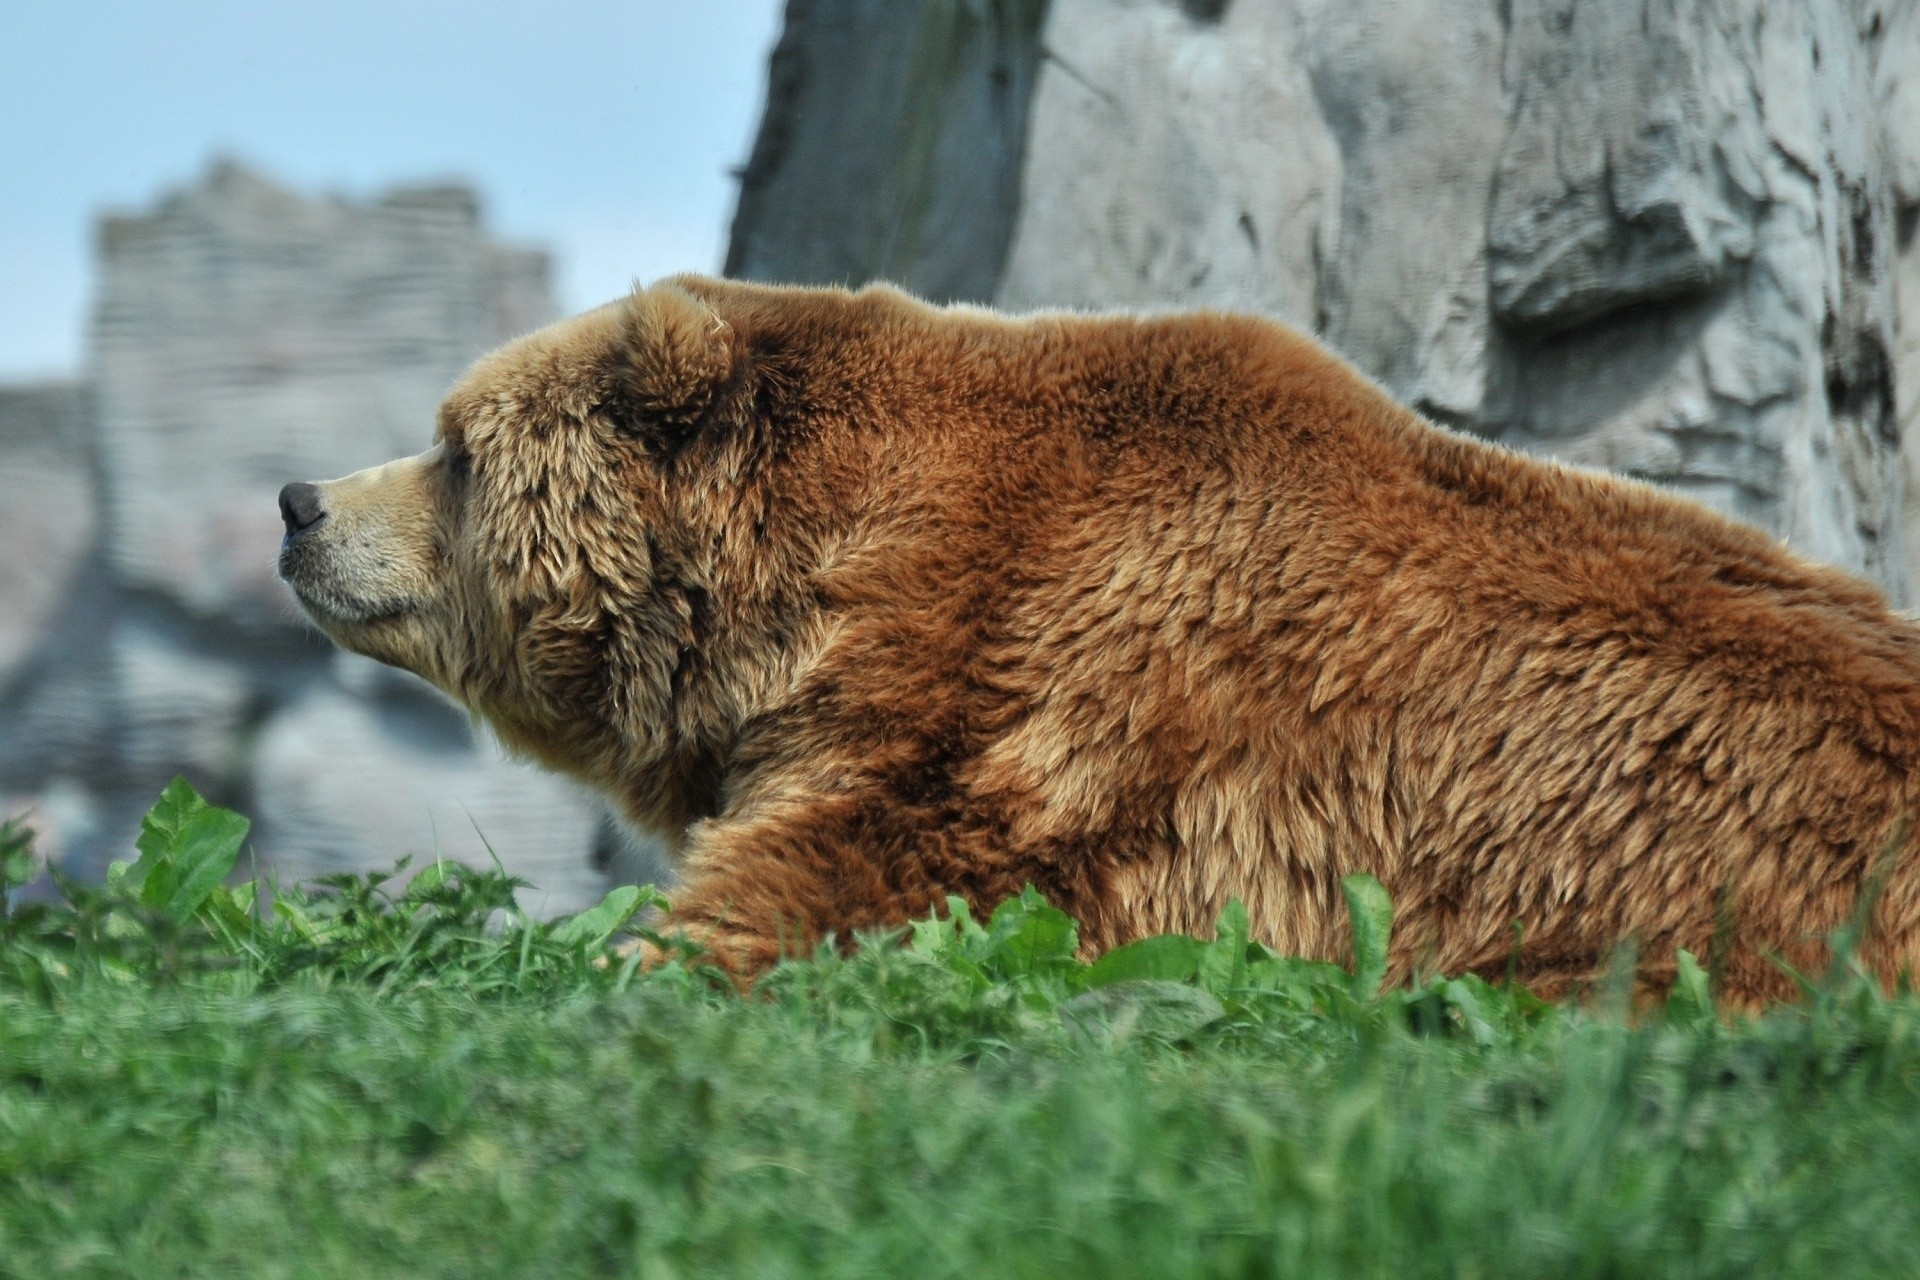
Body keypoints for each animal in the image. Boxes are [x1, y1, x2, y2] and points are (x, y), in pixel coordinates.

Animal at [278, 275, 1920, 1004]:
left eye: (454, 451)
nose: (301, 502)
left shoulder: (1041, 704)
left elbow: (853, 878)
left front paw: (617, 951)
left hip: (1698, 890)